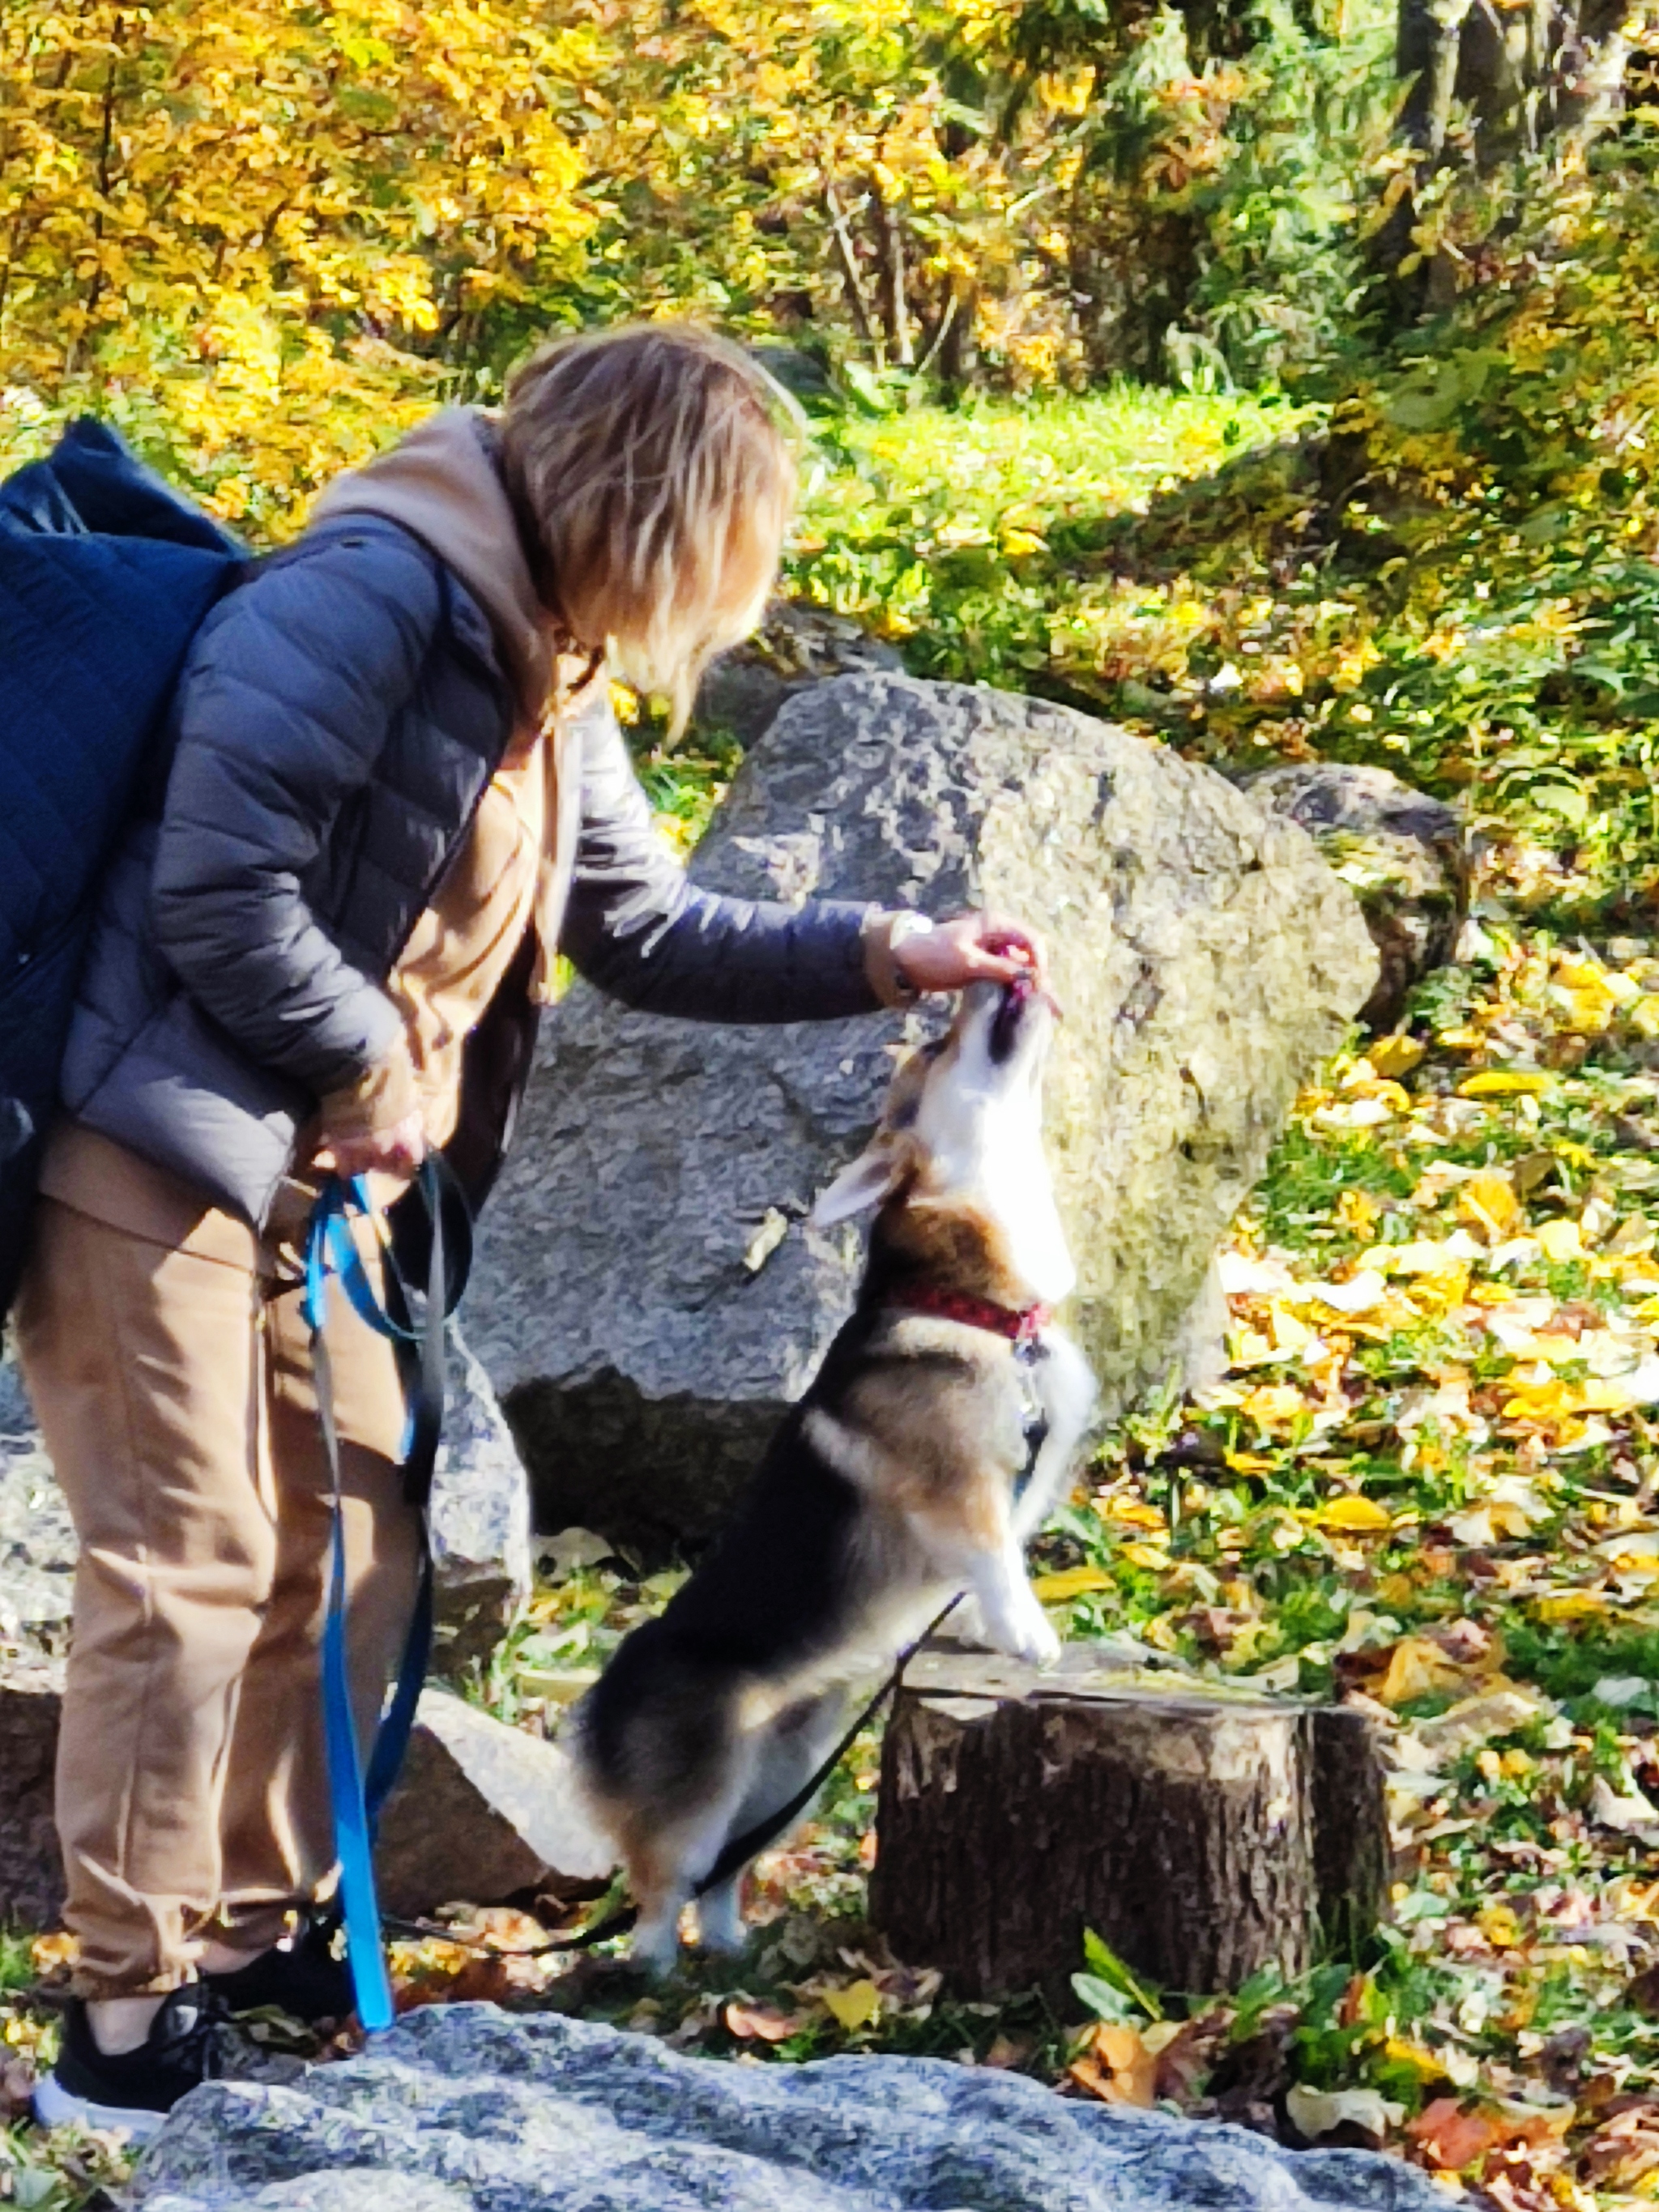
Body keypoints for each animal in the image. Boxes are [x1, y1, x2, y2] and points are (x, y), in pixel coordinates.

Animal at [570, 978, 1106, 1981]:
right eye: (933, 1049)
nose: (996, 975)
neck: (978, 1308)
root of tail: (599, 1698)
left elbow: (994, 1570)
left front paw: (982, 1633)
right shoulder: (960, 1491)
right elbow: (998, 1562)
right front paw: (1030, 1639)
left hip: (788, 1768)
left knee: (724, 1874)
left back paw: (731, 1945)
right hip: (706, 1790)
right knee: (664, 1884)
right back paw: (653, 1968)